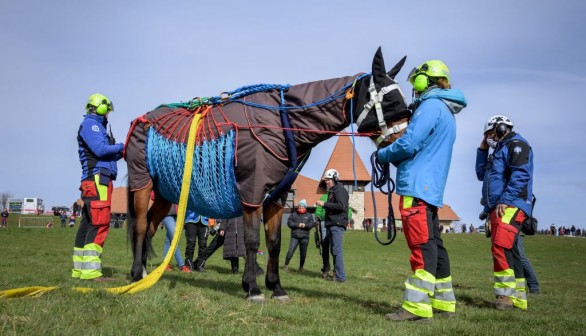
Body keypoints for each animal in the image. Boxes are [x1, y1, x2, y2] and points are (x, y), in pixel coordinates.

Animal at [124, 46, 406, 302]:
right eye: (391, 101)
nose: (405, 139)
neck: (282, 122)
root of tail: (141, 120)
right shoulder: (252, 194)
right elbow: (251, 241)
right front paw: (252, 287)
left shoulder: (277, 198)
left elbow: (274, 243)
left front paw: (276, 287)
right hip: (142, 184)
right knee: (140, 225)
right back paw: (137, 272)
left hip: (164, 192)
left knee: (150, 226)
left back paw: (144, 272)